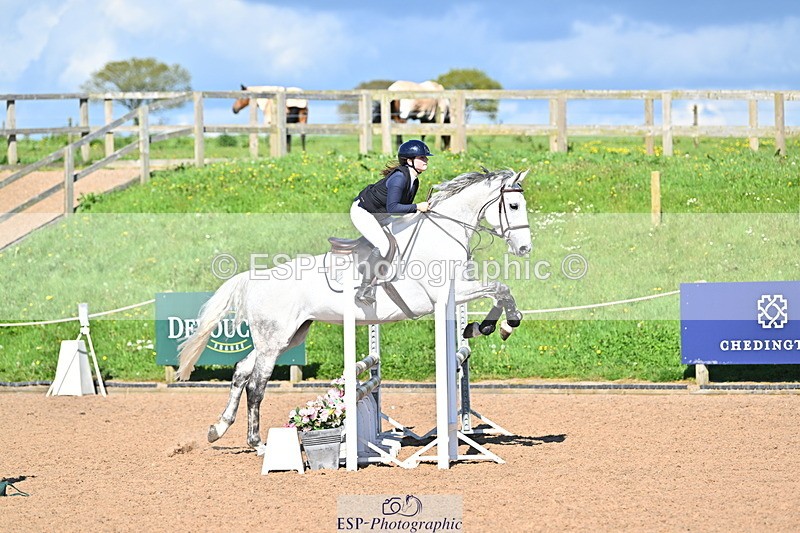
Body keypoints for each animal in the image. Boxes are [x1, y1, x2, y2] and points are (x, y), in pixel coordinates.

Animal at [177, 168, 531, 448]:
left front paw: (484, 326)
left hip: (286, 336)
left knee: (241, 371)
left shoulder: (458, 291)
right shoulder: (444, 295)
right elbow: (501, 288)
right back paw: (258, 444)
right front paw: (504, 324)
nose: (525, 249)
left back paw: (218, 429)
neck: (441, 234)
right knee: (256, 383)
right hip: (275, 338)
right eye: (513, 205)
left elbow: (498, 291)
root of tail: (253, 278)